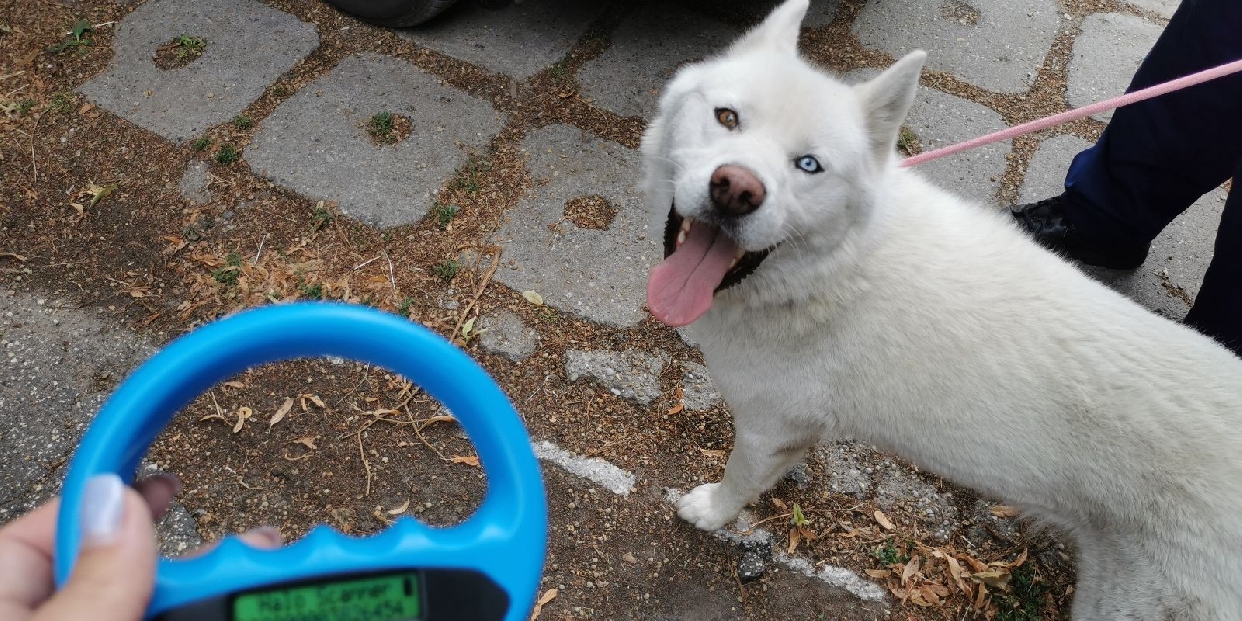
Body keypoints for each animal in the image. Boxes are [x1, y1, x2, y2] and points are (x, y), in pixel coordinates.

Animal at [640, 1, 1242, 616]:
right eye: (728, 117)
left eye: (808, 165)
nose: (736, 188)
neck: (832, 271)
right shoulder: (793, 435)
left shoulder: (766, 431)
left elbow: (737, 483)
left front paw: (710, 512)